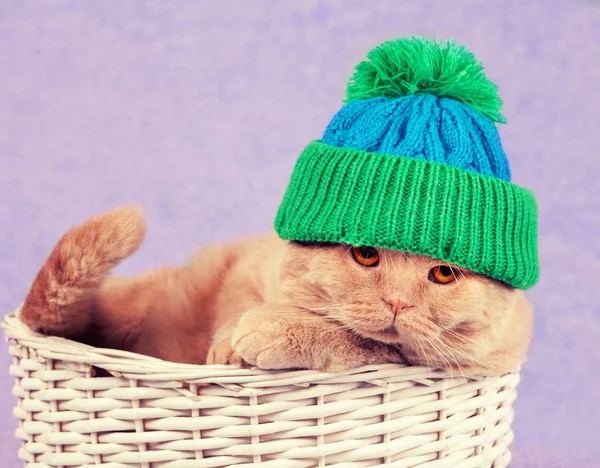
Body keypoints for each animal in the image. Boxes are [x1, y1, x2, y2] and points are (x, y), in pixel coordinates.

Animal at [19, 207, 536, 374]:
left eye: (444, 275)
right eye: (366, 255)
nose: (397, 303)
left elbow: (361, 340)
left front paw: (270, 332)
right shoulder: (246, 267)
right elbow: (236, 308)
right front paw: (231, 346)